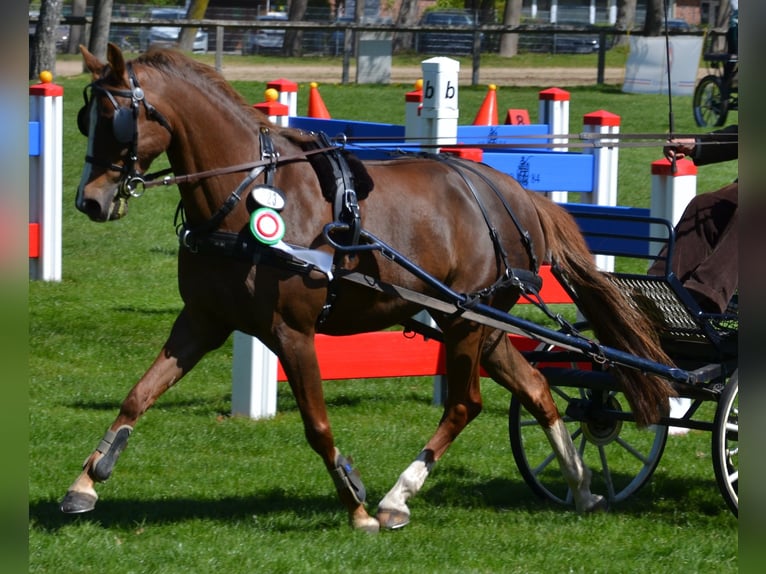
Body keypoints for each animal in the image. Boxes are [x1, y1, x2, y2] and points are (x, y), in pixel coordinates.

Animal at [61, 42, 680, 532]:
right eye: (85, 118)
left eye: (116, 118)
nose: (89, 201)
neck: (245, 196)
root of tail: (513, 192)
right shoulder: (202, 321)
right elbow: (139, 394)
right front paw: (86, 482)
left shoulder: (292, 332)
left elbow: (316, 423)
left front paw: (355, 506)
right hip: (481, 324)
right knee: (537, 389)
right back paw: (580, 488)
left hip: (465, 322)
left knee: (466, 403)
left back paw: (395, 499)